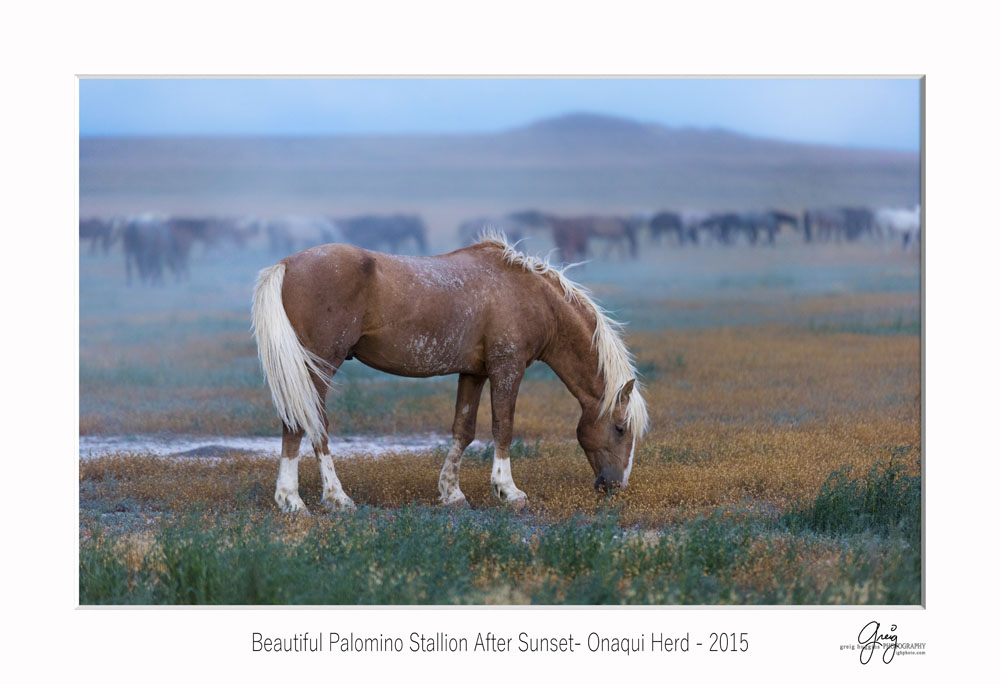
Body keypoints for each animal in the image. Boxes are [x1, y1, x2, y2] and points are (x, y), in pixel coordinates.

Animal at [252, 232, 648, 510]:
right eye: (620, 428)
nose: (615, 486)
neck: (530, 295)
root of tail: (286, 265)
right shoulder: (507, 369)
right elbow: (503, 427)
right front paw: (508, 490)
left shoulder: (474, 373)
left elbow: (463, 430)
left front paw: (451, 493)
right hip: (318, 367)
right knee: (312, 424)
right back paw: (322, 498)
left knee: (296, 422)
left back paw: (292, 499)